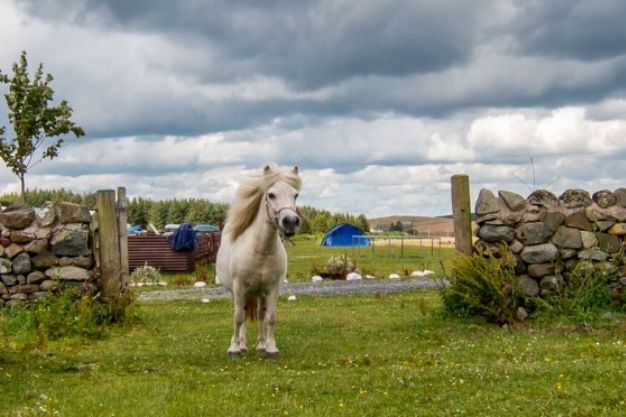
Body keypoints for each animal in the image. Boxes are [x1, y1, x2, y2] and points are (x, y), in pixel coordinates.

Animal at [216, 164, 302, 356]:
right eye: (271, 194)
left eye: (295, 195)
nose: (290, 222)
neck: (260, 251)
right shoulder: (239, 287)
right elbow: (238, 317)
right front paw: (234, 348)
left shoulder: (273, 288)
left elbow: (270, 317)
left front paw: (271, 347)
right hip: (236, 292)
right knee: (241, 313)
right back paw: (241, 345)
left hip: (260, 293)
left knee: (260, 314)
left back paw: (261, 345)